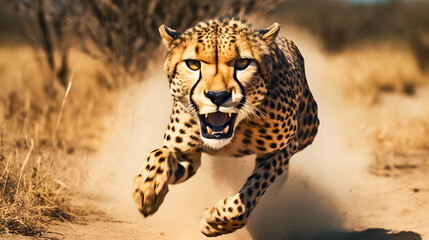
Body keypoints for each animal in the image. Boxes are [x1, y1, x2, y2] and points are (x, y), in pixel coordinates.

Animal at [132, 16, 320, 236]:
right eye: (193, 64)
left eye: (242, 63)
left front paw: (214, 223)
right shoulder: (188, 154)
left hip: (309, 128)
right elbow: (160, 153)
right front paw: (147, 189)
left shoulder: (284, 147)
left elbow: (251, 193)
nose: (217, 96)